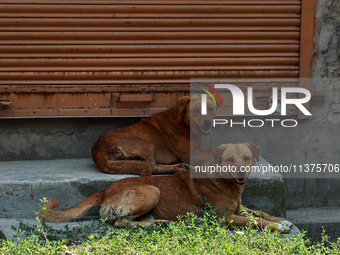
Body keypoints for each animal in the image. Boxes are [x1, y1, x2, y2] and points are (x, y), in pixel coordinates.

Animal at [41, 143, 292, 233]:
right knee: (121, 223)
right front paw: (277, 226)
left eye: (247, 158)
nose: (241, 173)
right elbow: (255, 220)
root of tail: (104, 191)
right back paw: (157, 224)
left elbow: (260, 212)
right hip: (153, 191)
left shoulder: (239, 209)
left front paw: (281, 220)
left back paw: (158, 222)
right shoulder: (225, 218)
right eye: (230, 160)